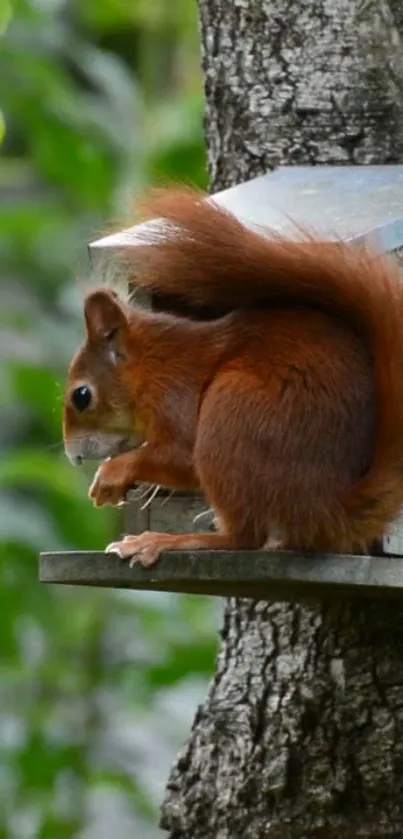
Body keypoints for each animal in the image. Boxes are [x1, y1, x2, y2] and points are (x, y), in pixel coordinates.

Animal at [63, 184, 403, 564]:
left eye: (82, 396)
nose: (73, 457)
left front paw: (113, 473)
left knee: (244, 537)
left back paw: (166, 540)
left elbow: (181, 455)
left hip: (230, 417)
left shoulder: (174, 392)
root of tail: (329, 509)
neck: (151, 366)